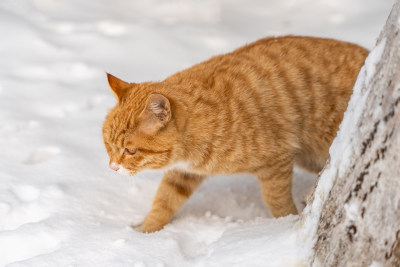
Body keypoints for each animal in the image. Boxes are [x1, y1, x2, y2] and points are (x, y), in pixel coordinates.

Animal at [103, 35, 368, 232]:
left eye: (130, 150)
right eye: (108, 144)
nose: (112, 167)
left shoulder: (276, 163)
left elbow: (277, 201)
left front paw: (285, 223)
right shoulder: (183, 173)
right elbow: (164, 201)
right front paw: (146, 232)